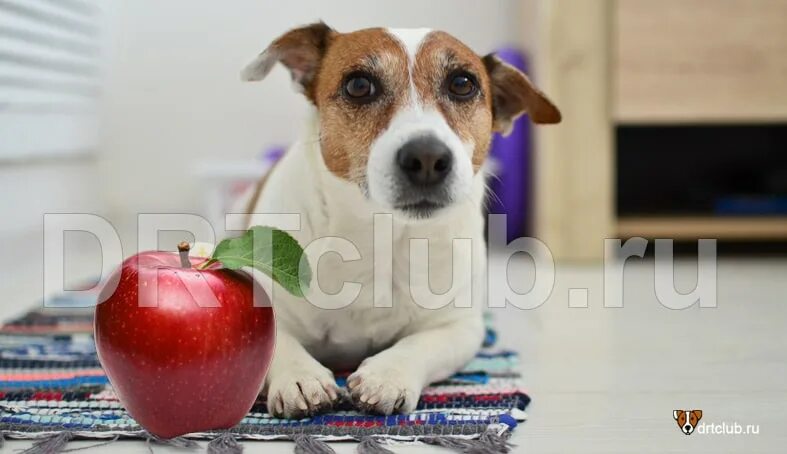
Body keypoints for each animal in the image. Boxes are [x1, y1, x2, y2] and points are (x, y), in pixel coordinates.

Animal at [240, 22, 560, 418]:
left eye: (462, 83)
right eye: (358, 85)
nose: (427, 158)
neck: (381, 234)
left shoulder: (459, 327)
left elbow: (421, 344)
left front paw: (387, 376)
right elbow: (277, 344)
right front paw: (301, 377)